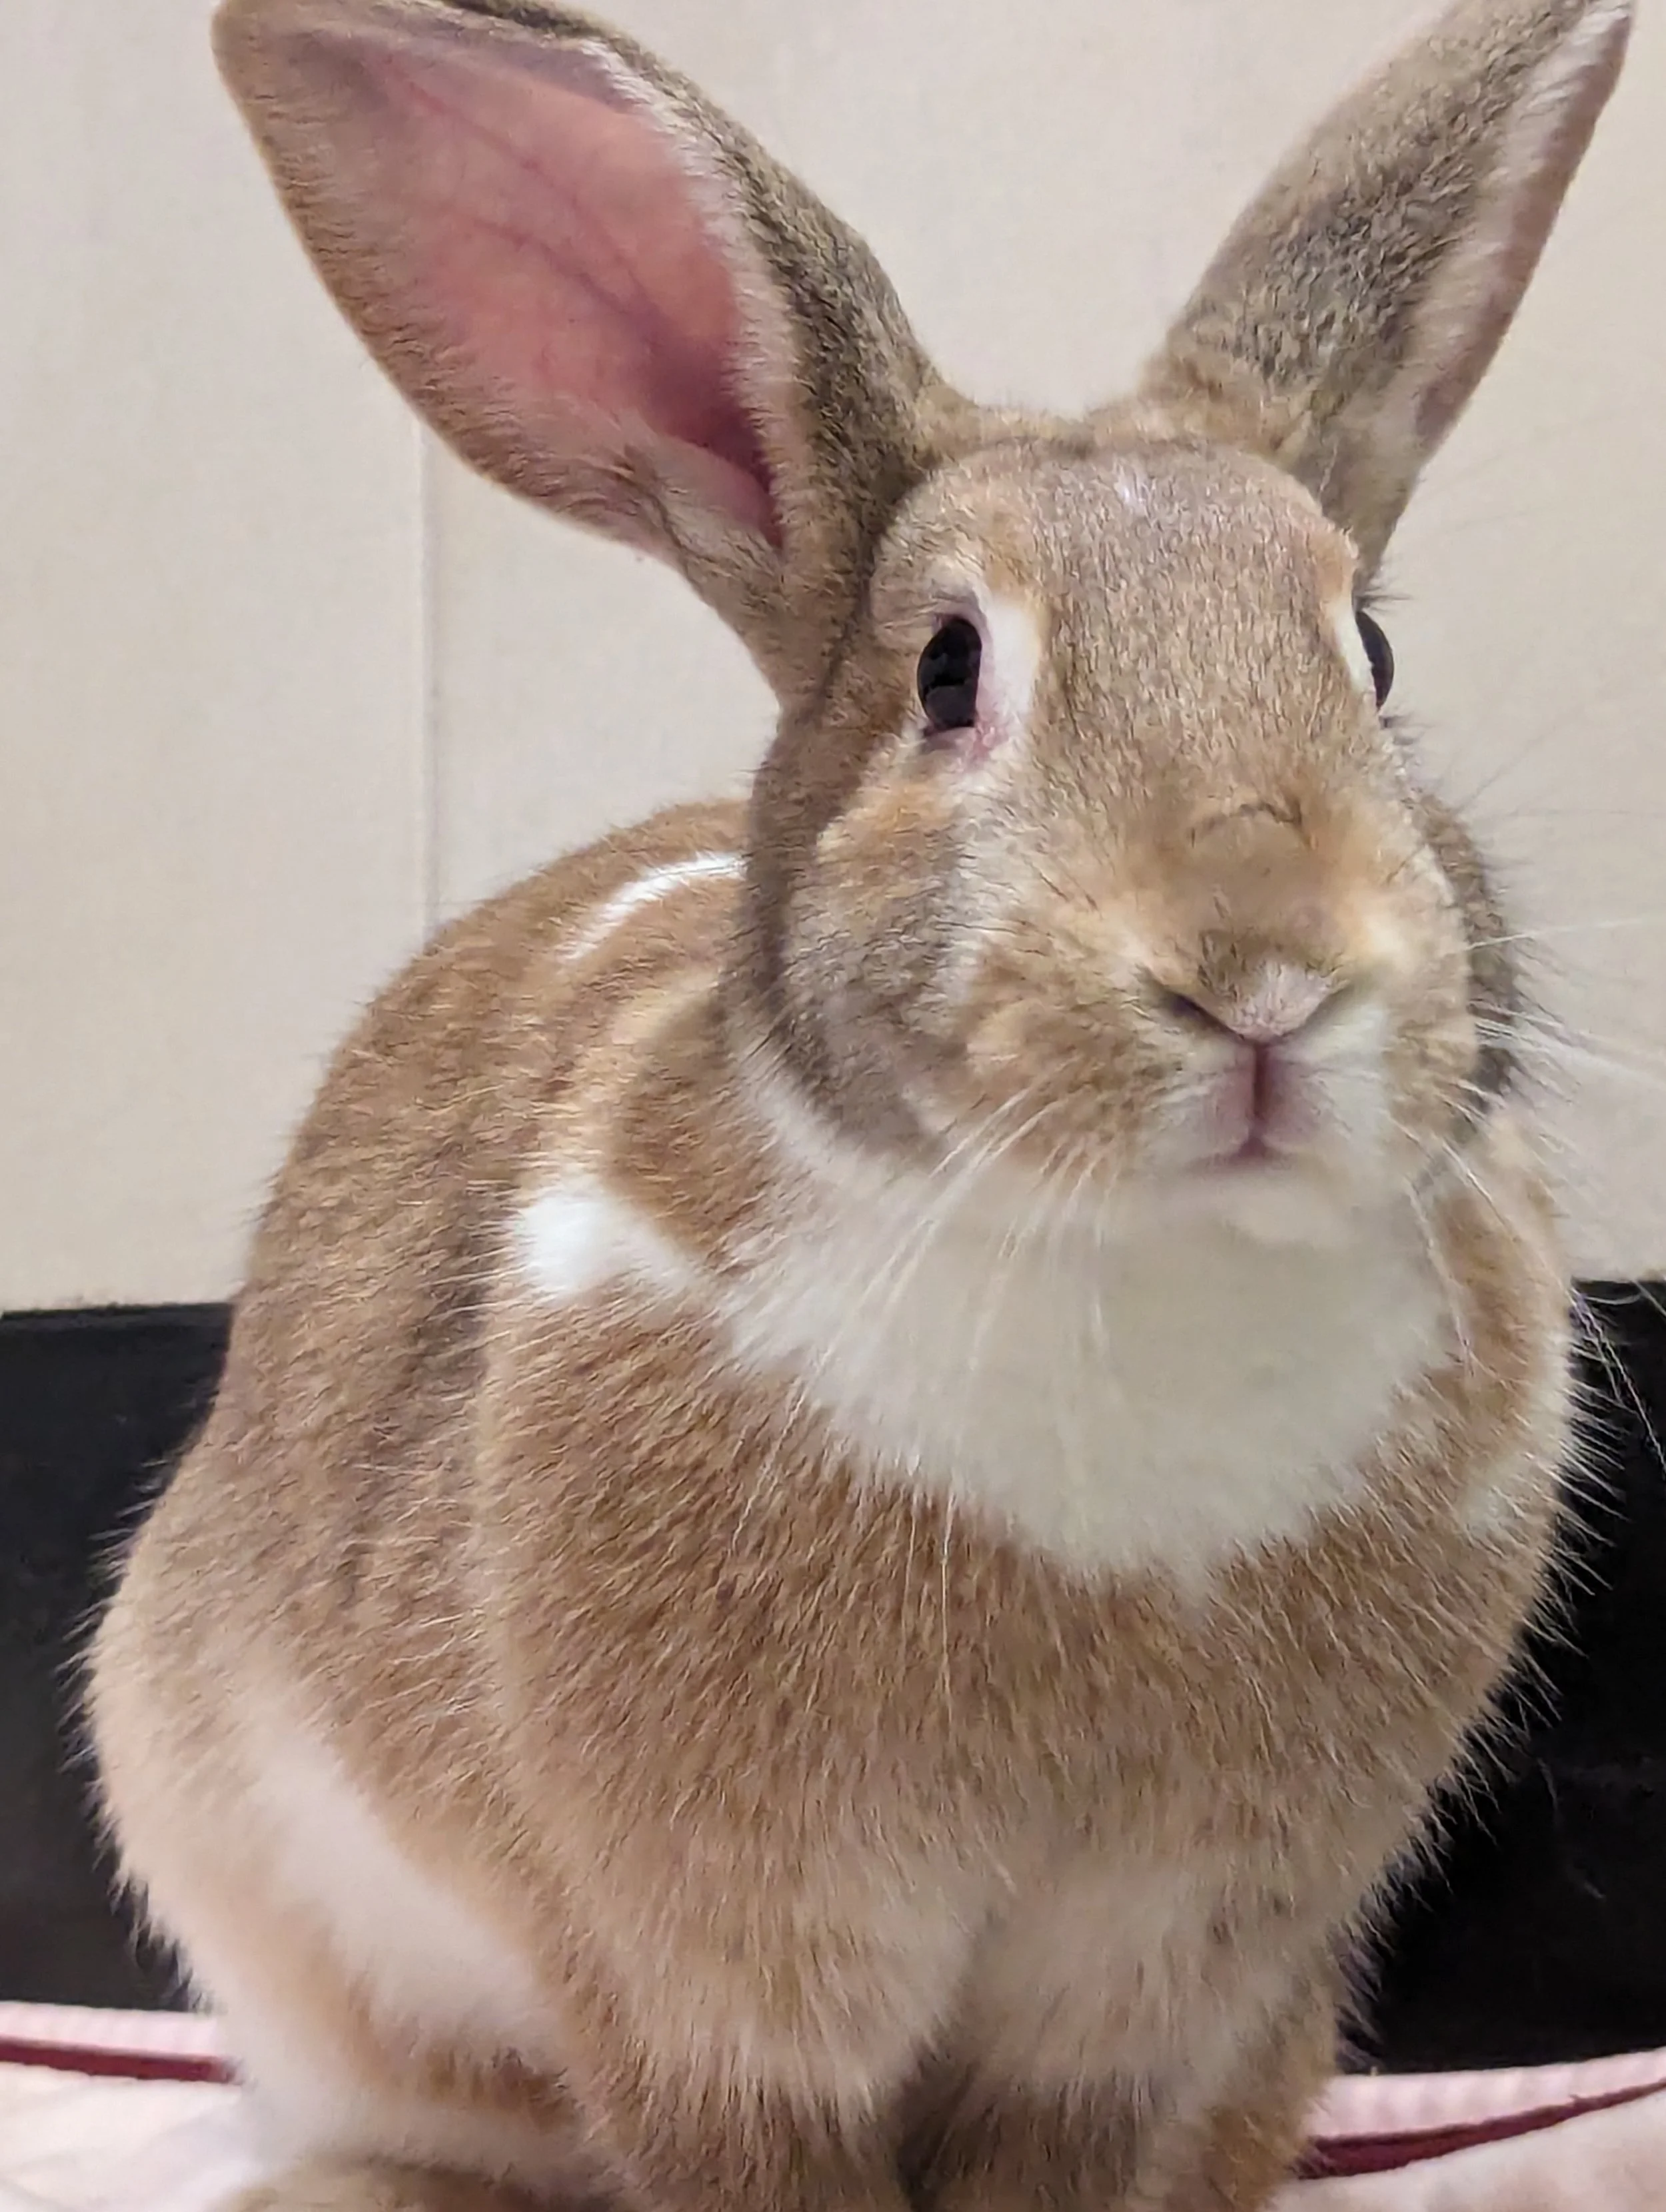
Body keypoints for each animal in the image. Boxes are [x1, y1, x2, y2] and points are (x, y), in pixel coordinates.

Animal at [86, 0, 1633, 2208]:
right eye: (948, 670)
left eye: (1367, 652)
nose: (1260, 971)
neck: (1137, 1287)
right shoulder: (706, 1988)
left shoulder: (1135, 1993)